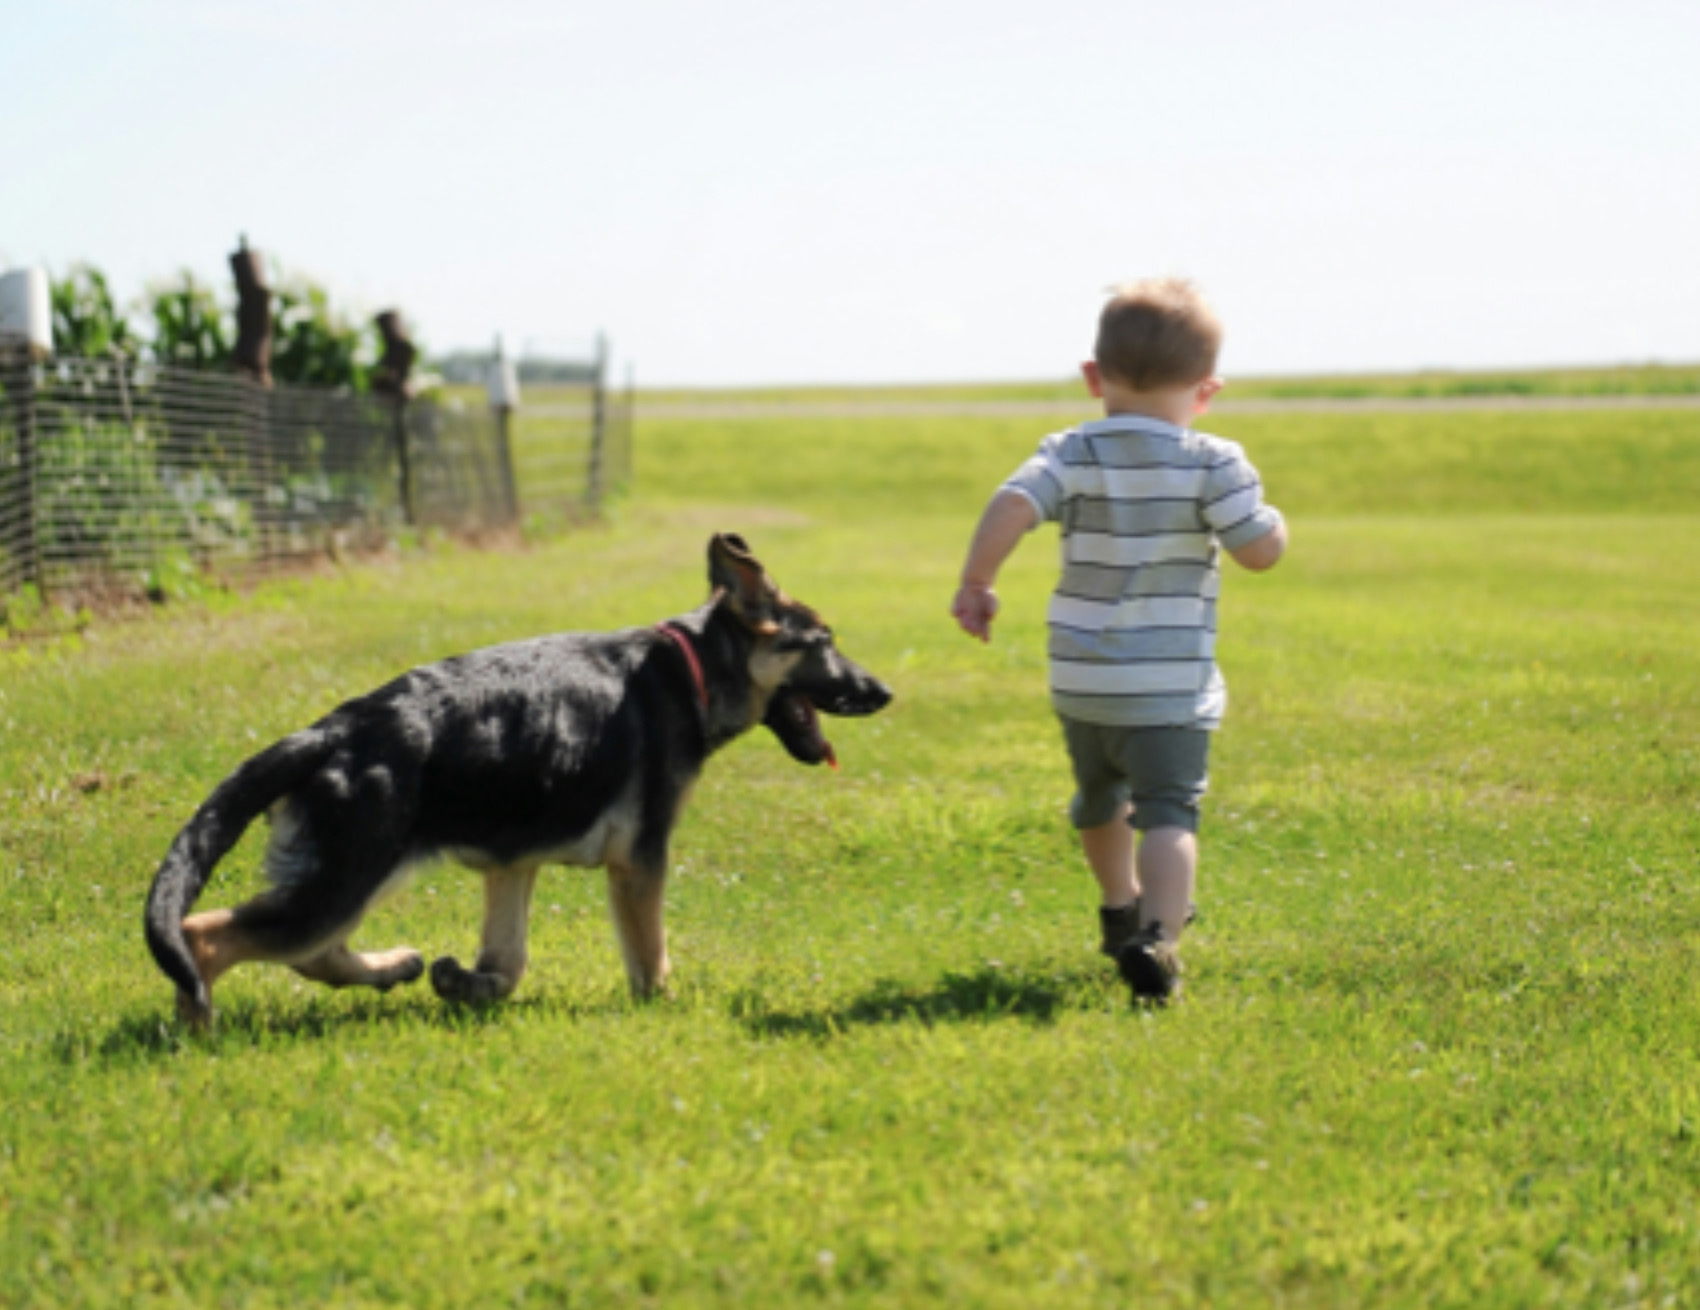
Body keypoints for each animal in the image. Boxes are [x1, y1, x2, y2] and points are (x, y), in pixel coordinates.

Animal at [144, 533, 890, 1026]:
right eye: (823, 642)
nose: (882, 692)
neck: (695, 666)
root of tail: (329, 732)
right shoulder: (639, 860)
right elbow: (650, 957)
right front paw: (667, 1011)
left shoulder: (513, 863)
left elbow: (508, 962)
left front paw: (466, 985)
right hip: (349, 873)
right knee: (207, 935)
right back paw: (196, 1028)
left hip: (346, 873)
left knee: (309, 952)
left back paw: (395, 968)